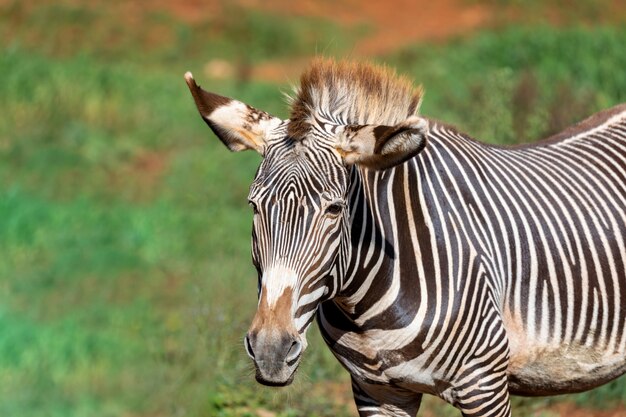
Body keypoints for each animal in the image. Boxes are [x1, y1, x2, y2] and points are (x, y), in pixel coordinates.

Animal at [183, 59, 624, 416]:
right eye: (254, 206)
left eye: (334, 210)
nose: (270, 352)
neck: (367, 307)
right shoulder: (376, 390)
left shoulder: (485, 384)